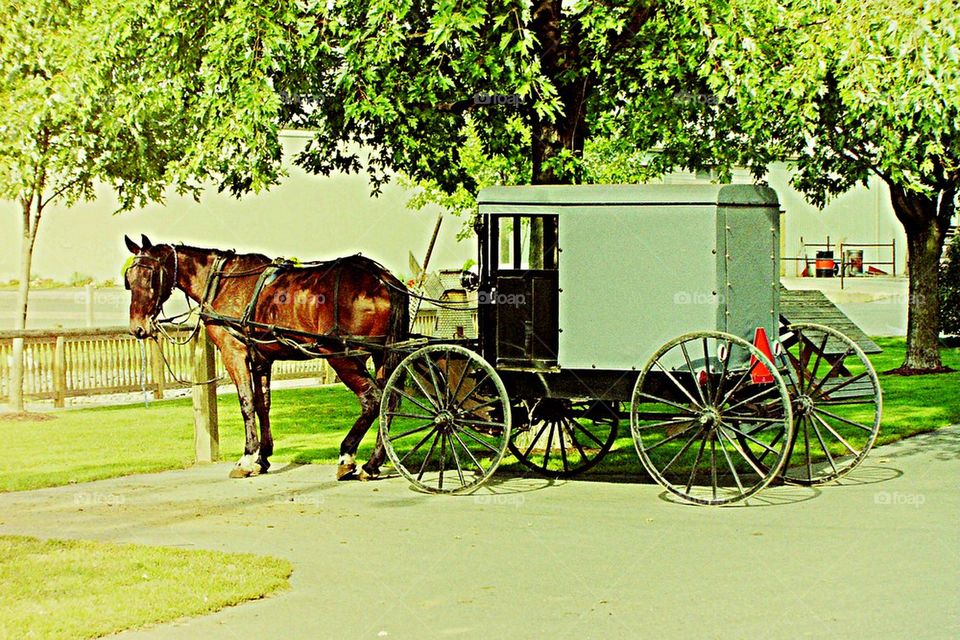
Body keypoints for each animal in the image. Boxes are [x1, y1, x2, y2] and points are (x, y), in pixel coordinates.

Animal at [123, 234, 409, 480]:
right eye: (129, 278)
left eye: (151, 275)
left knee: (373, 399)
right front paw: (263, 458)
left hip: (341, 355)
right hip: (383, 354)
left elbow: (247, 402)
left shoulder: (234, 352)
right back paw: (372, 463)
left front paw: (247, 458)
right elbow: (263, 404)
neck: (223, 282)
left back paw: (348, 456)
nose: (138, 327)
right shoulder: (261, 358)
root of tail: (383, 280)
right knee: (389, 400)